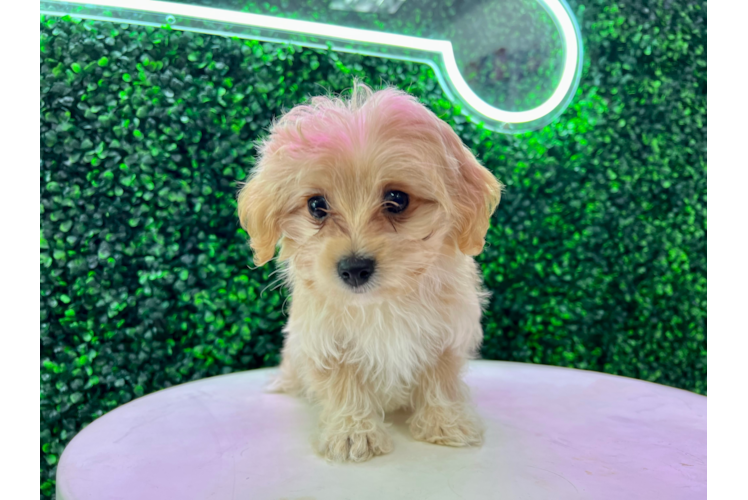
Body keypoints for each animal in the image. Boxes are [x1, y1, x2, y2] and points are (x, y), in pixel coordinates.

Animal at [238, 82, 502, 460]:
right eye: (316, 206)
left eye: (398, 199)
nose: (354, 268)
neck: (380, 303)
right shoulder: (326, 341)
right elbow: (344, 385)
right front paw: (353, 433)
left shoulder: (447, 334)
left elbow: (441, 379)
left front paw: (445, 423)